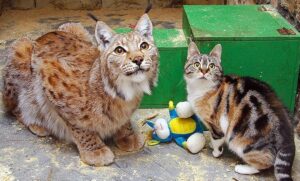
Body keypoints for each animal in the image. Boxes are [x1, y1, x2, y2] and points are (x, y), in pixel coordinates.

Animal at [2, 13, 159, 166]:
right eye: (119, 50)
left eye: (144, 46)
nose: (138, 59)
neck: (123, 90)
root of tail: (43, 35)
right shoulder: (49, 73)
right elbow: (78, 124)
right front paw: (95, 150)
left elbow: (123, 120)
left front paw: (127, 135)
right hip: (21, 49)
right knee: (12, 108)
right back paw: (37, 123)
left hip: (75, 27)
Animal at [185, 41, 296, 180]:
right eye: (196, 64)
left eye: (211, 66)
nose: (204, 71)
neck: (201, 90)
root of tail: (288, 138)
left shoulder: (217, 125)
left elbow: (216, 139)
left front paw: (216, 152)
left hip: (243, 144)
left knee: (266, 162)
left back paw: (242, 168)